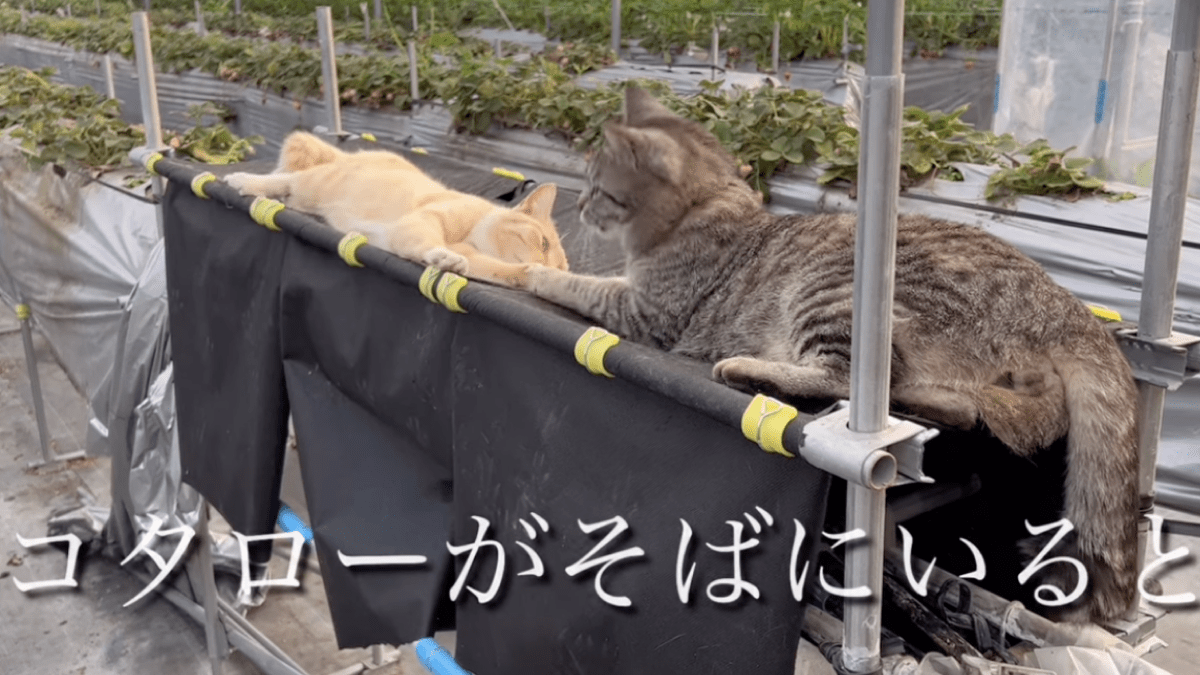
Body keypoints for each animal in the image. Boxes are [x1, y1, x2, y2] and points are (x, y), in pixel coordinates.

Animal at [225, 130, 571, 282]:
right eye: (542, 242)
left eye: (562, 269)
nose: (550, 268)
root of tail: (347, 154)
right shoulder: (425, 221)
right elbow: (428, 242)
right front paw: (443, 256)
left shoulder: (479, 262)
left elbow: (501, 272)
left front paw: (532, 274)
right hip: (315, 184)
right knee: (283, 179)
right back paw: (242, 179)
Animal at [501, 86, 1137, 624]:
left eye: (597, 187)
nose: (582, 206)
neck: (709, 204)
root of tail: (1062, 301)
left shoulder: (647, 314)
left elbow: (580, 285)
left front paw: (529, 269)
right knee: (987, 410)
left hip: (835, 295)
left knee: (846, 382)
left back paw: (751, 367)